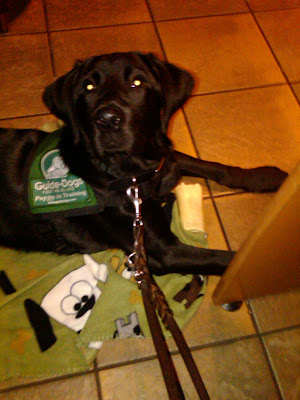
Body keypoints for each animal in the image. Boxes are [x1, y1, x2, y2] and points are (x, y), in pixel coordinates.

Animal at [0, 51, 288, 276]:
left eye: (137, 83)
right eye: (88, 88)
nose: (106, 120)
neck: (132, 173)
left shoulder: (164, 159)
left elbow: (210, 165)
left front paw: (263, 177)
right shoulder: (162, 252)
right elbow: (227, 258)